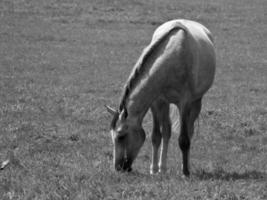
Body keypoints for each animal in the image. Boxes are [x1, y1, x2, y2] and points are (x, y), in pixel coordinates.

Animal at [105, 18, 216, 175]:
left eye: (121, 136)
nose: (118, 168)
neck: (173, 57)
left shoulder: (185, 103)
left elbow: (184, 139)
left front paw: (185, 172)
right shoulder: (157, 101)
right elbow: (156, 136)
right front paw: (154, 169)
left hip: (196, 102)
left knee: (189, 131)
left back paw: (185, 166)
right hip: (165, 104)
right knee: (167, 131)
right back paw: (162, 168)